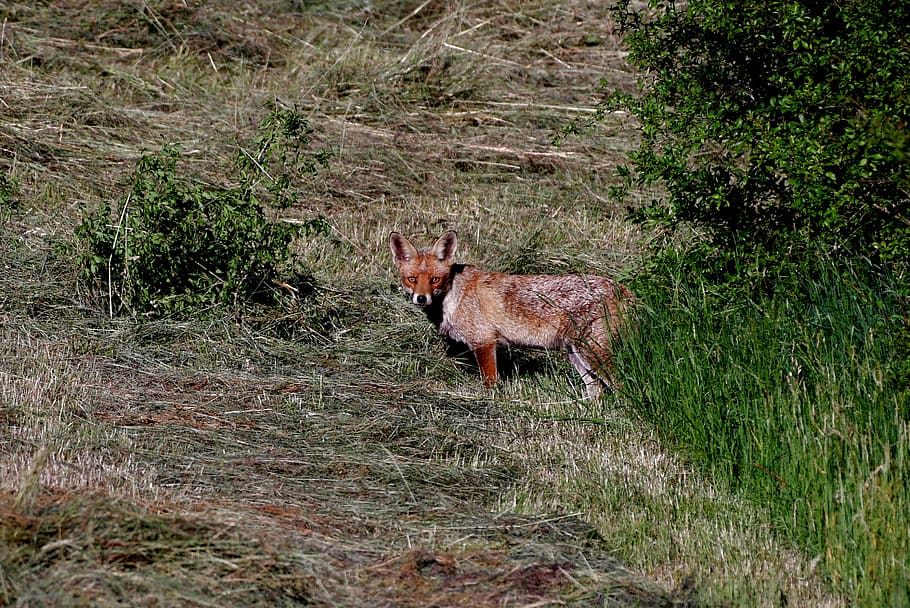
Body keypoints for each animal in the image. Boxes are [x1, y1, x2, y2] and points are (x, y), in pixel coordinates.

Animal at [390, 229, 636, 400]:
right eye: (412, 279)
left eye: (435, 280)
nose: (421, 298)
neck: (453, 295)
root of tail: (622, 289)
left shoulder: (484, 341)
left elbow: (490, 382)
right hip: (576, 356)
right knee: (597, 392)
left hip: (592, 353)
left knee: (622, 385)